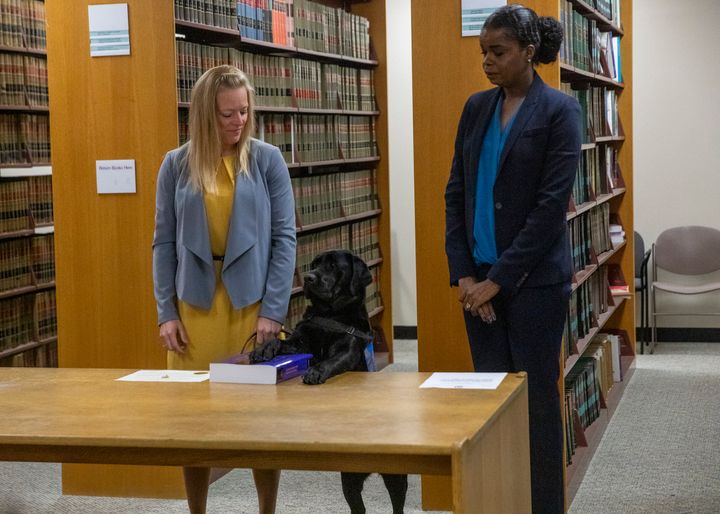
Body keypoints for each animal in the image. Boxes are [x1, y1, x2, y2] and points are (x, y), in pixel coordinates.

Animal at [249, 248, 404, 512]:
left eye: (333, 266)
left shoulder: (348, 350)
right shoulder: (299, 342)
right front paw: (263, 349)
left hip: (395, 478)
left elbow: (331, 360)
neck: (329, 313)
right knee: (358, 507)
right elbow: (280, 342)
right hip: (349, 480)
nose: (308, 277)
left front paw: (315, 372)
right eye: (314, 264)